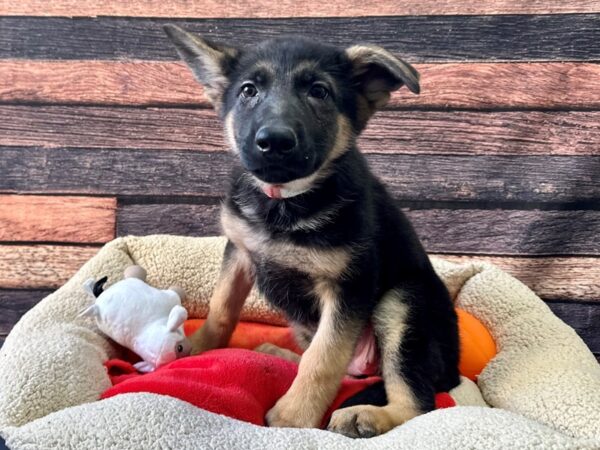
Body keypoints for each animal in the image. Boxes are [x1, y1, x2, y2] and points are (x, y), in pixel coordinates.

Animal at [164, 24, 460, 436]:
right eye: (248, 90)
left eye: (319, 91)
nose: (274, 142)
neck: (284, 202)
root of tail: (455, 370)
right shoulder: (239, 251)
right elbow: (222, 306)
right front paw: (198, 347)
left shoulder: (349, 286)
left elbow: (323, 357)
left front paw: (295, 415)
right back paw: (280, 353)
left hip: (403, 303)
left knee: (417, 402)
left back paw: (369, 415)